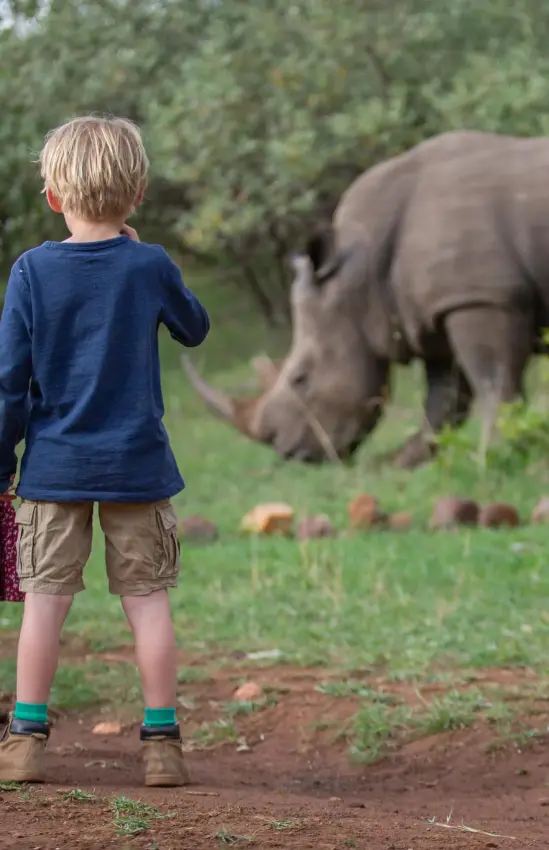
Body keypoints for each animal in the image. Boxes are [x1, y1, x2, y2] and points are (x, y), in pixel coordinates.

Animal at [183, 130, 549, 468]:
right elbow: (443, 402)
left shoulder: (480, 298)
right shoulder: (431, 314)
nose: (290, 453)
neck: (359, 273)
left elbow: (494, 385)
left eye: (301, 378)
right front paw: (398, 464)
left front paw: (498, 456)